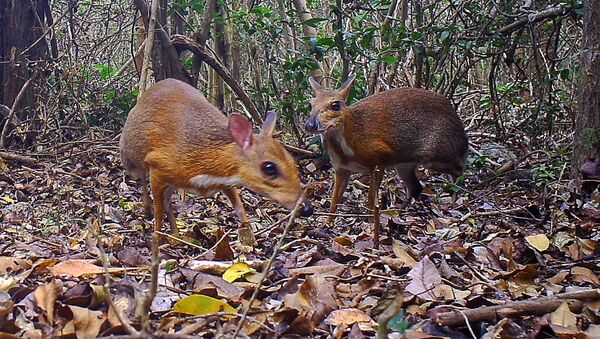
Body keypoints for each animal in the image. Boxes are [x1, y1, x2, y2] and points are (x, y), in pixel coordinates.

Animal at [122, 78, 310, 235]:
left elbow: (239, 208)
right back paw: (148, 211)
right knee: (142, 179)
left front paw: (251, 238)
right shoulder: (157, 164)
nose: (307, 208)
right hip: (130, 158)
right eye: (269, 168)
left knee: (168, 201)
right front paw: (158, 238)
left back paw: (176, 235)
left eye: (292, 161)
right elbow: (159, 211)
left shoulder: (226, 181)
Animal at [304, 74, 468, 224]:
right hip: (404, 165)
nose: (310, 125)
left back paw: (454, 202)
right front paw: (327, 224)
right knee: (416, 187)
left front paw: (372, 222)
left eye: (335, 105)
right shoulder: (341, 168)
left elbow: (371, 198)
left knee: (459, 171)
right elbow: (334, 200)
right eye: (311, 104)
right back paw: (399, 212)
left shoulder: (380, 157)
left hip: (437, 155)